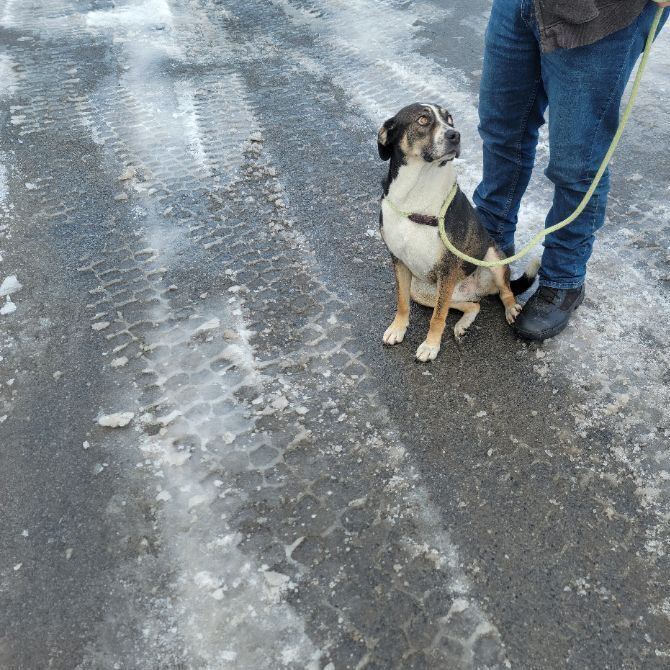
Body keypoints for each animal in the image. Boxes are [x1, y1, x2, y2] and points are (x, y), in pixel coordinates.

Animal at [378, 102, 540, 362]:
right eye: (423, 120)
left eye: (450, 119)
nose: (455, 135)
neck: (416, 191)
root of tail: (476, 288)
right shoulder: (399, 261)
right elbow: (402, 303)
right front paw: (397, 329)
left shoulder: (448, 267)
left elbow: (437, 317)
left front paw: (430, 346)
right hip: (424, 291)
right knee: (472, 304)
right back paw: (463, 324)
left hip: (492, 258)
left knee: (504, 291)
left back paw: (511, 309)